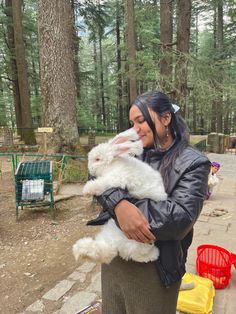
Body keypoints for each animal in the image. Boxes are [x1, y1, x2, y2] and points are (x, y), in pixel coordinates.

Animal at [73, 129, 167, 264]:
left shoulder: (115, 178)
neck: (113, 163)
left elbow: (101, 184)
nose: (90, 169)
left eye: (97, 159)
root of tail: (118, 244)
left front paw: (87, 190)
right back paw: (79, 249)